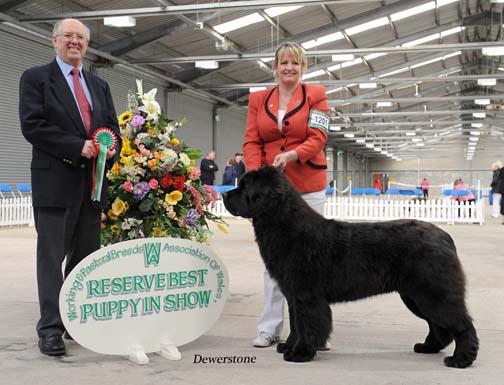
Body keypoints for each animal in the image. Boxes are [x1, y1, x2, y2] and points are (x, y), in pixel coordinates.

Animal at [222, 166, 478, 368]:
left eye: (244, 187)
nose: (224, 194)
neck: (285, 225)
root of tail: (445, 237)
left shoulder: (306, 295)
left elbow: (308, 324)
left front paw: (300, 353)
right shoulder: (293, 295)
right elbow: (296, 323)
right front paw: (289, 346)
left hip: (432, 293)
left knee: (461, 324)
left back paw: (461, 360)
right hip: (416, 296)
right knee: (439, 326)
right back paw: (428, 347)